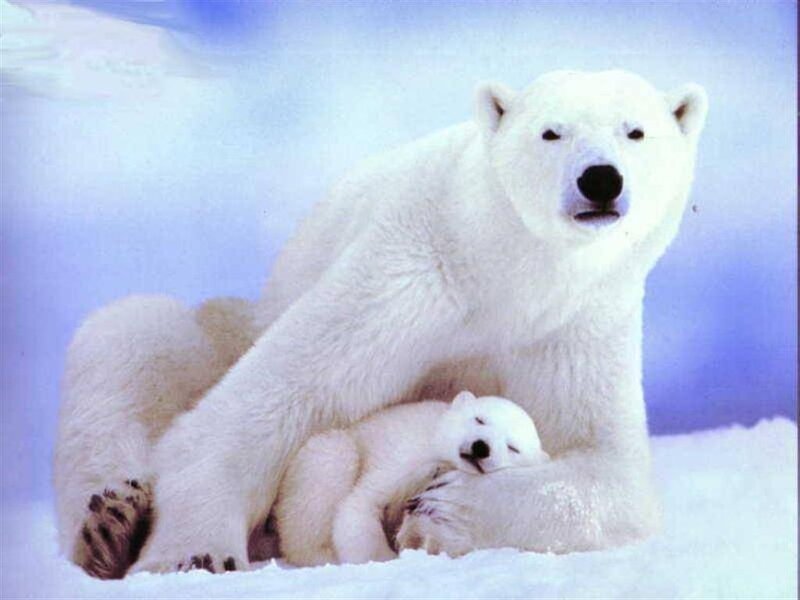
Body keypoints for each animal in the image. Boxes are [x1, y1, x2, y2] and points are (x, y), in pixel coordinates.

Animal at [275, 391, 548, 567]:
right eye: (480, 418)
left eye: (513, 447)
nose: (481, 447)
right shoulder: (407, 458)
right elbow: (362, 504)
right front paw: (383, 558)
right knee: (332, 459)